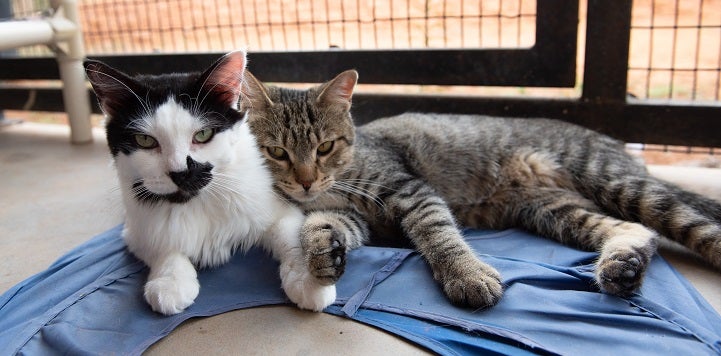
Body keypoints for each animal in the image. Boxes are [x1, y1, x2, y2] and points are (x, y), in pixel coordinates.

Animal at [83, 50, 334, 314]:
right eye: (145, 140)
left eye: (202, 135)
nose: (181, 173)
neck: (196, 203)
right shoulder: (136, 230)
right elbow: (163, 244)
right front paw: (170, 282)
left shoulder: (279, 209)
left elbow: (292, 239)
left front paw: (309, 280)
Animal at [242, 69, 720, 308]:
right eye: (277, 152)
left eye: (325, 146)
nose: (306, 180)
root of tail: (616, 146)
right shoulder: (355, 216)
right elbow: (321, 224)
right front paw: (322, 253)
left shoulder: (410, 191)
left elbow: (439, 235)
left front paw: (467, 275)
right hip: (553, 210)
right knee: (636, 230)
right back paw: (622, 265)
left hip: (615, 182)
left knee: (688, 226)